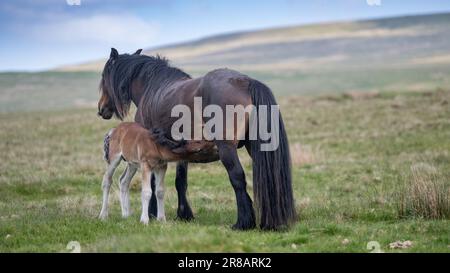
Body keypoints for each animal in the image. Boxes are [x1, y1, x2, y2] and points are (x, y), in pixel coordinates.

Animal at [97, 48, 296, 230]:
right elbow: (180, 182)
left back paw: (243, 223)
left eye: (104, 77)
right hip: (256, 147)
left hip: (227, 148)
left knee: (237, 178)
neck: (153, 88)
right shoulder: (179, 151)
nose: (101, 109)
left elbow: (153, 183)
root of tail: (246, 82)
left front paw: (153, 214)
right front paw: (184, 215)